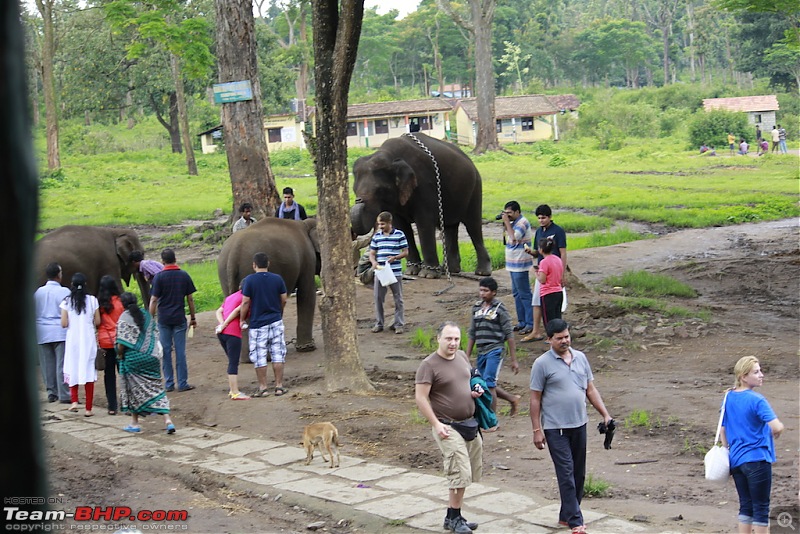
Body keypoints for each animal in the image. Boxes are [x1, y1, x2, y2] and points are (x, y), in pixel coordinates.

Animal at [219, 216, 322, 354]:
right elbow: (306, 293)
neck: (306, 223)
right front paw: (307, 348)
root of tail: (234, 251)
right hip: (250, 270)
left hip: (224, 273)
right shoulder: (308, 259)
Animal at [352, 133, 494, 280]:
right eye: (354, 189)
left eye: (380, 190)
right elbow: (401, 225)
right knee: (449, 227)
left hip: (475, 187)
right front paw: (411, 272)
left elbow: (424, 222)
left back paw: (482, 272)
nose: (359, 200)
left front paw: (428, 275)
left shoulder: (425, 184)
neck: (388, 155)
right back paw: (449, 270)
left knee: (473, 226)